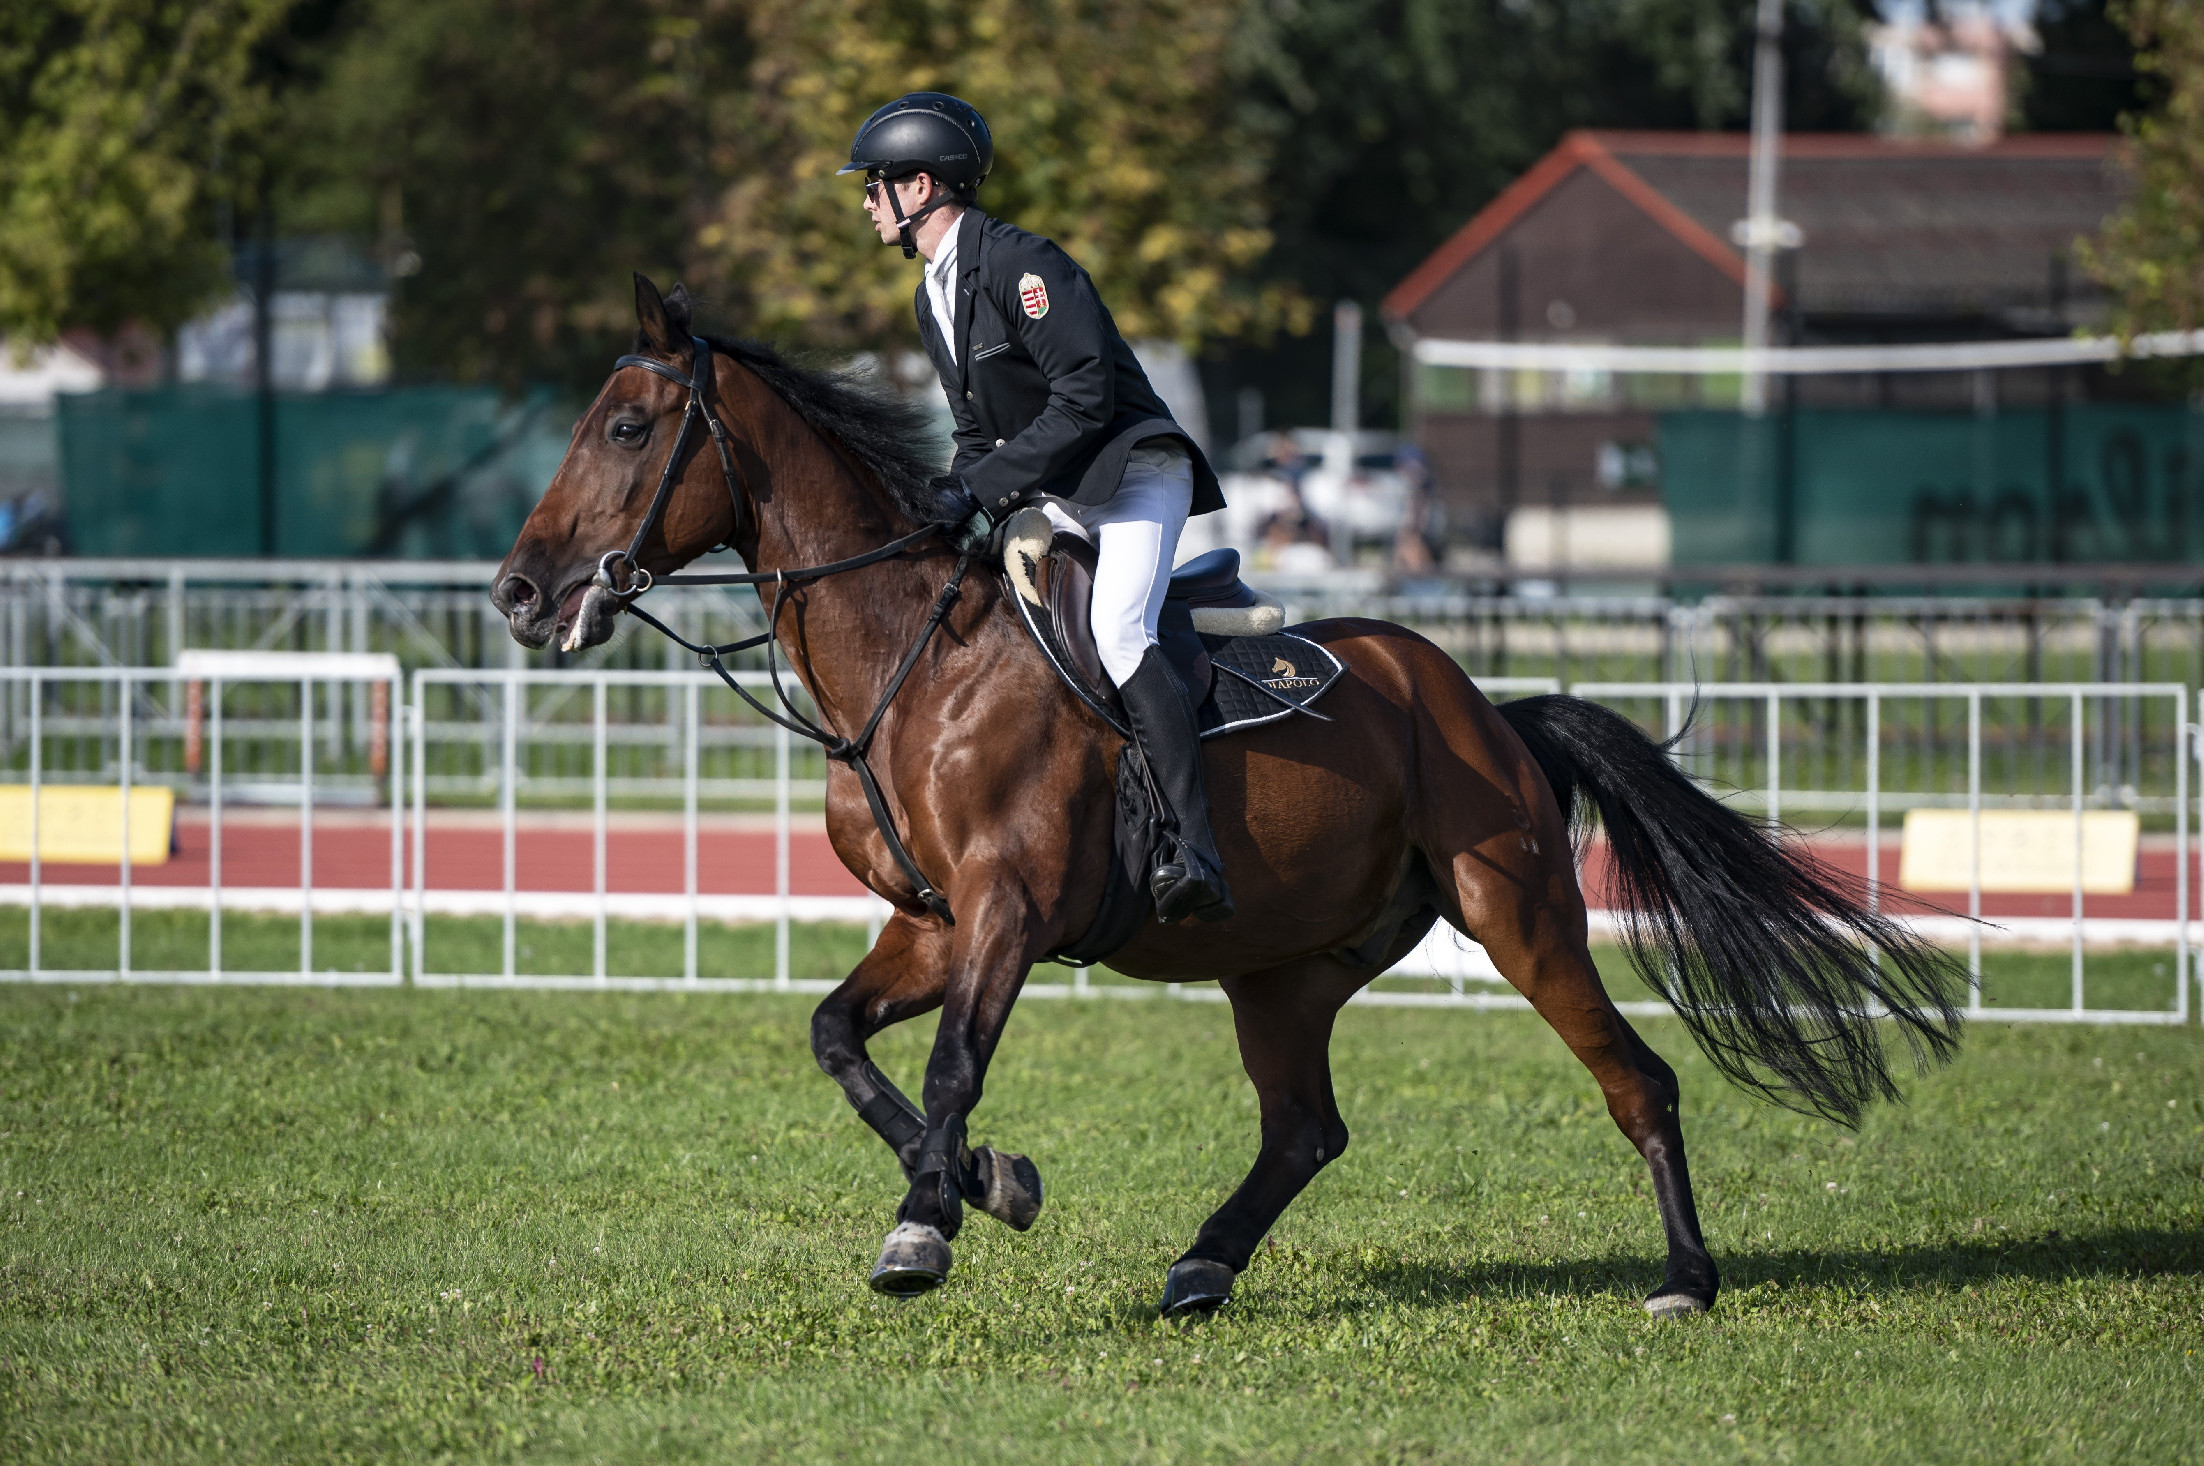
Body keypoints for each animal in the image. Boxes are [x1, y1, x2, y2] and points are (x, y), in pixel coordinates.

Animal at [491, 274, 1957, 1313]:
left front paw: (926, 1222)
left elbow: (954, 1060)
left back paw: (1685, 1279)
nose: (518, 591)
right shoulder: (932, 922)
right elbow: (840, 1039)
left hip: (1518, 906)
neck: (913, 661)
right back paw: (1200, 1266)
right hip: (1284, 964)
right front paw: (988, 1182)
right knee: (1304, 1127)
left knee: (1635, 1079)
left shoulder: (1007, 910)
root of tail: (1488, 708)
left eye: (626, 426)